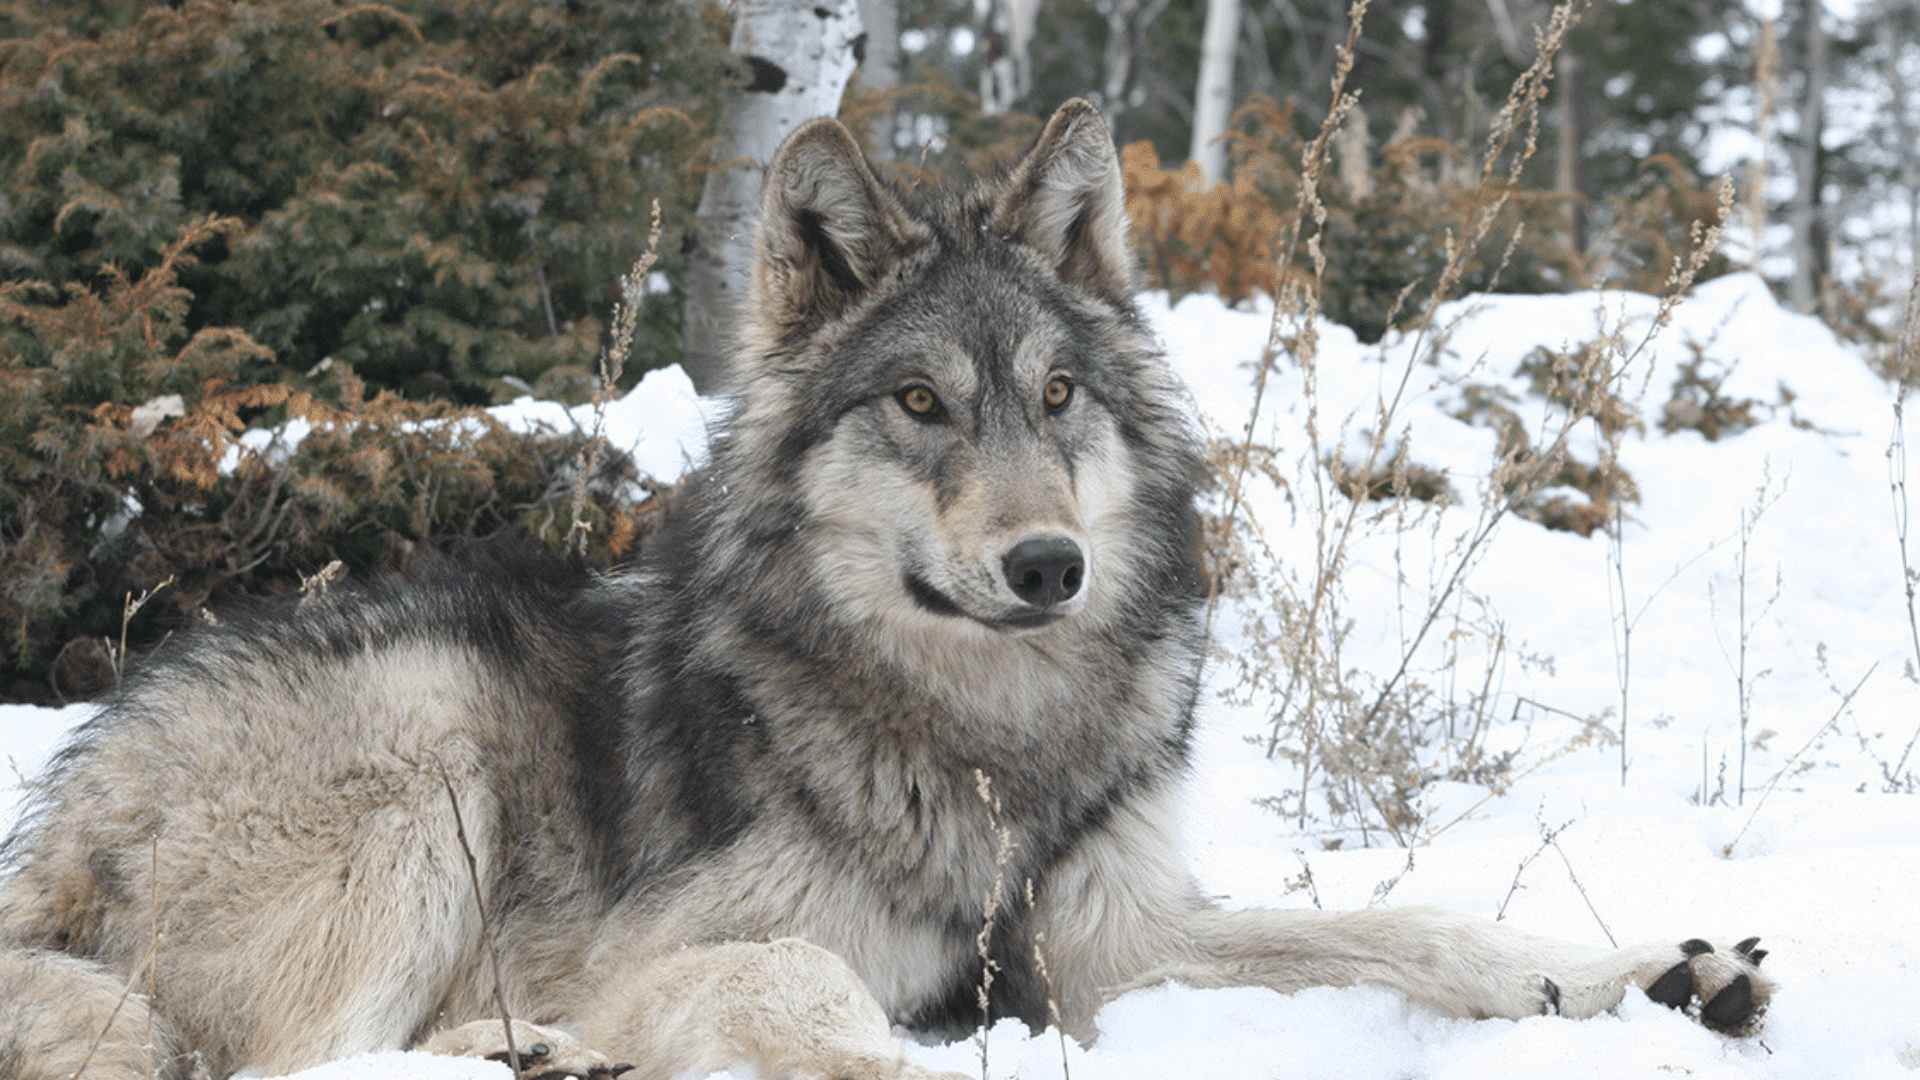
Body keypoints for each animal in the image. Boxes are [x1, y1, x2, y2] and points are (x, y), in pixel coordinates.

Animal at [0, 99, 1769, 1080]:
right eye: (921, 401)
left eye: (1056, 396)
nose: (1048, 565)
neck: (982, 746)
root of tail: (60, 815)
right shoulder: (683, 953)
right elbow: (816, 988)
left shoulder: (1107, 945)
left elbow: (1420, 928)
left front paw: (1639, 979)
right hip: (425, 743)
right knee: (301, 1062)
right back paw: (540, 1059)